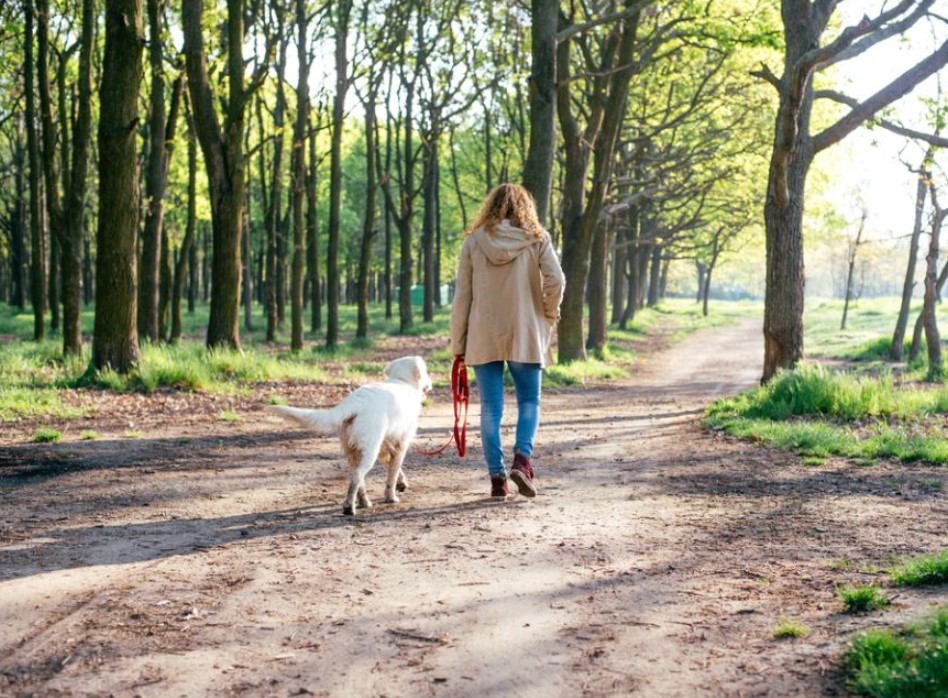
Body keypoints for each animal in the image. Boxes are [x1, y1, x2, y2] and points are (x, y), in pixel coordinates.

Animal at [270, 356, 434, 512]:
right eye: (426, 371)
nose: (431, 385)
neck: (402, 381)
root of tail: (353, 403)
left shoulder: (385, 445)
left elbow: (392, 467)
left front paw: (401, 483)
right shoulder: (401, 443)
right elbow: (392, 473)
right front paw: (391, 497)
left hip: (353, 450)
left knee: (357, 477)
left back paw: (364, 502)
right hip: (369, 450)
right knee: (357, 476)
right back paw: (349, 507)